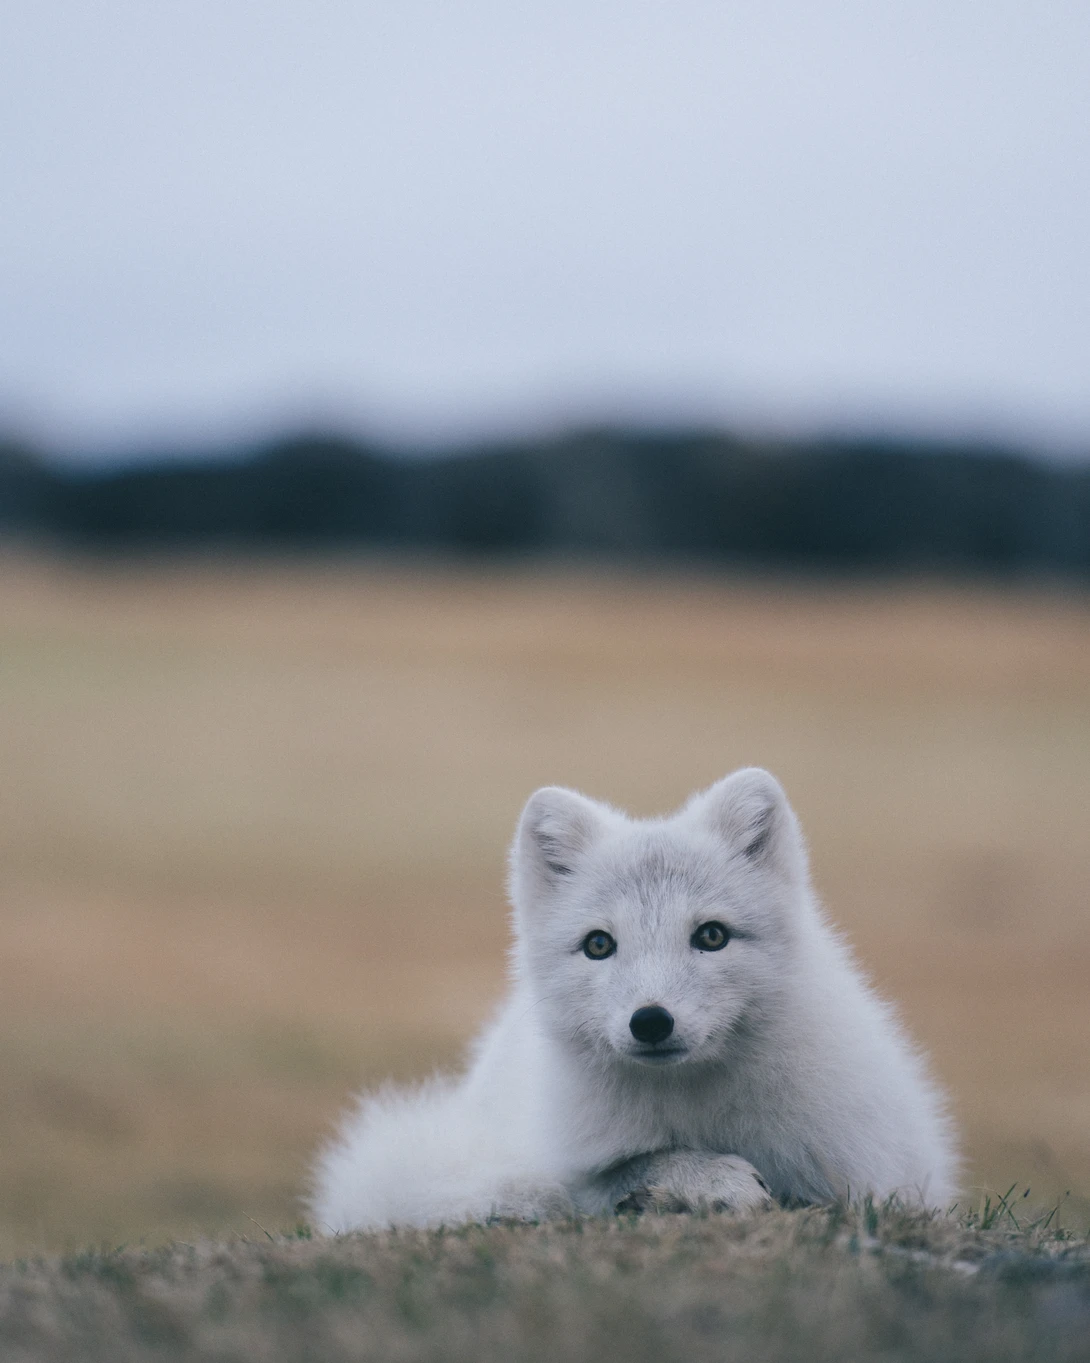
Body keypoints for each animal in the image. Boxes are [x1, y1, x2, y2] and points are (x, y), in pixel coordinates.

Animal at [309, 768, 959, 1230]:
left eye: (712, 936)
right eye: (599, 944)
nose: (650, 1021)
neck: (695, 1105)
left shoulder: (874, 1173)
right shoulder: (567, 1166)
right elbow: (626, 1170)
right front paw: (709, 1183)